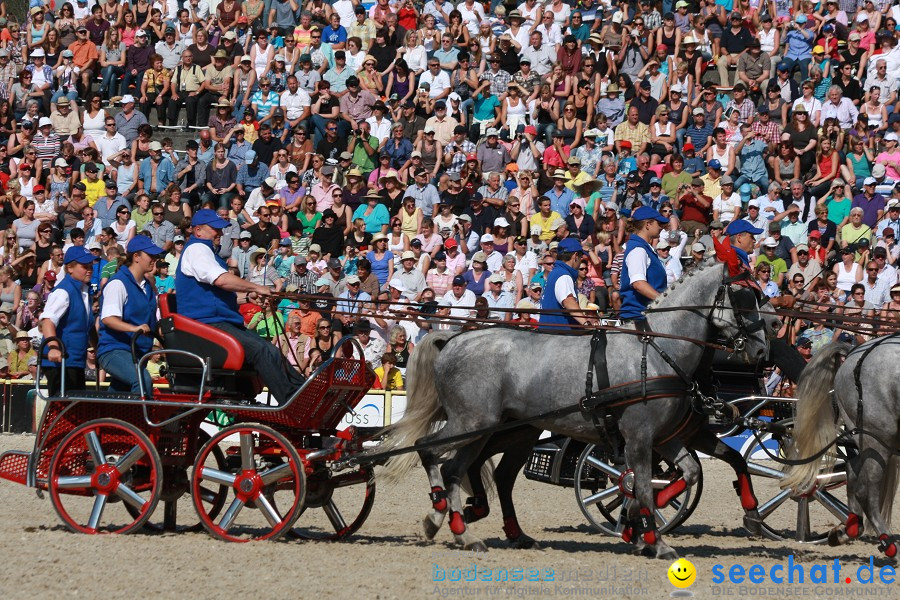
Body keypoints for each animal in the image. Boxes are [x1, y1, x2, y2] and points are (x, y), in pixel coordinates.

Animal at [376, 262, 776, 556]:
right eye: (744, 296)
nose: (761, 352)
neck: (657, 350)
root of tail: (453, 340)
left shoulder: (668, 437)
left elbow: (689, 473)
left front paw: (638, 527)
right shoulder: (639, 437)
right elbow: (643, 485)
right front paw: (654, 539)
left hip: (499, 430)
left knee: (470, 471)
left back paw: (472, 528)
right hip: (471, 422)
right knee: (434, 456)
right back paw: (447, 521)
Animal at [784, 340, 900, 556]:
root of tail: (854, 353)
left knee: (853, 469)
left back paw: (849, 529)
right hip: (878, 436)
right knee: (866, 491)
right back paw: (888, 544)